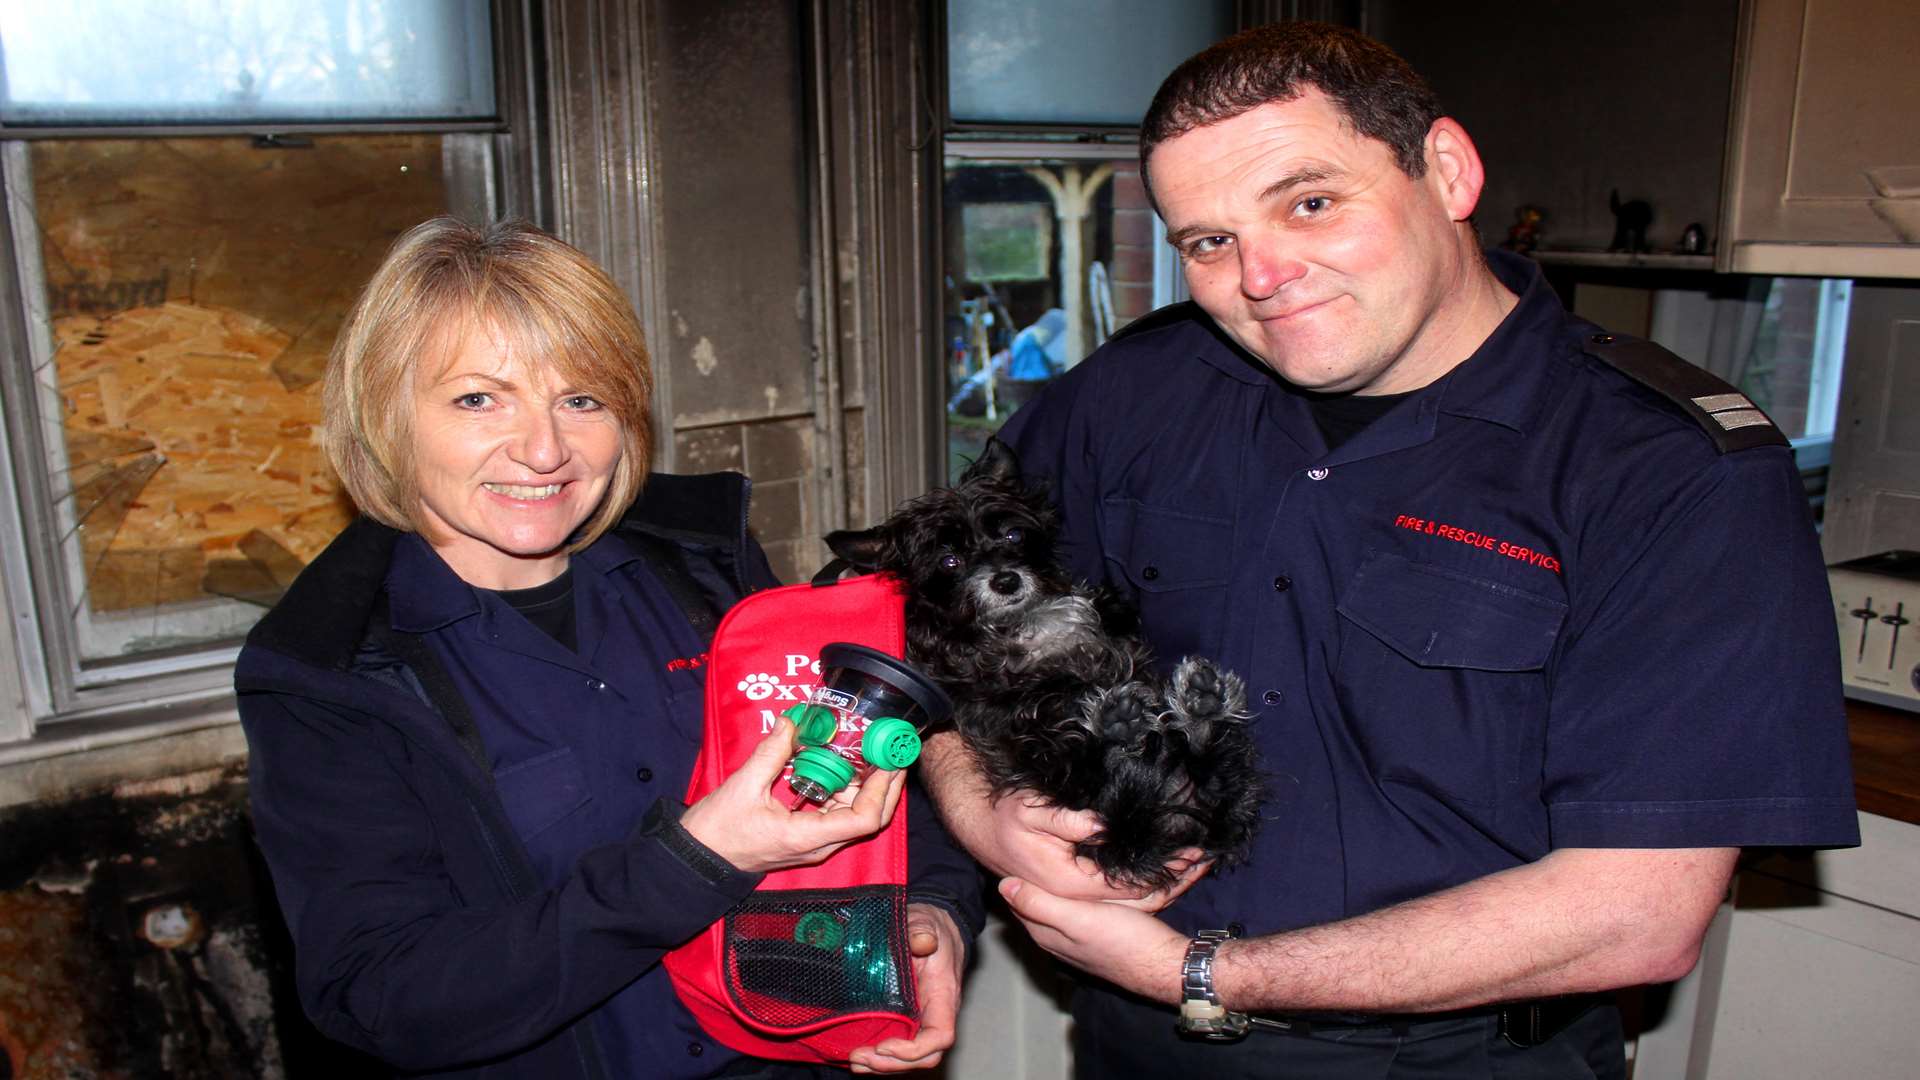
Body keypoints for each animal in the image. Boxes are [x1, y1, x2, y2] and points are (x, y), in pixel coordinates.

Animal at [821, 432, 1259, 887]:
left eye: (1013, 536)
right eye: (948, 561)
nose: (1006, 580)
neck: (1024, 622)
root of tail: (1166, 821)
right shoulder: (991, 696)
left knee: (1208, 763)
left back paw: (1197, 707)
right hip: (1056, 769)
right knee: (1095, 767)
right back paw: (1123, 722)